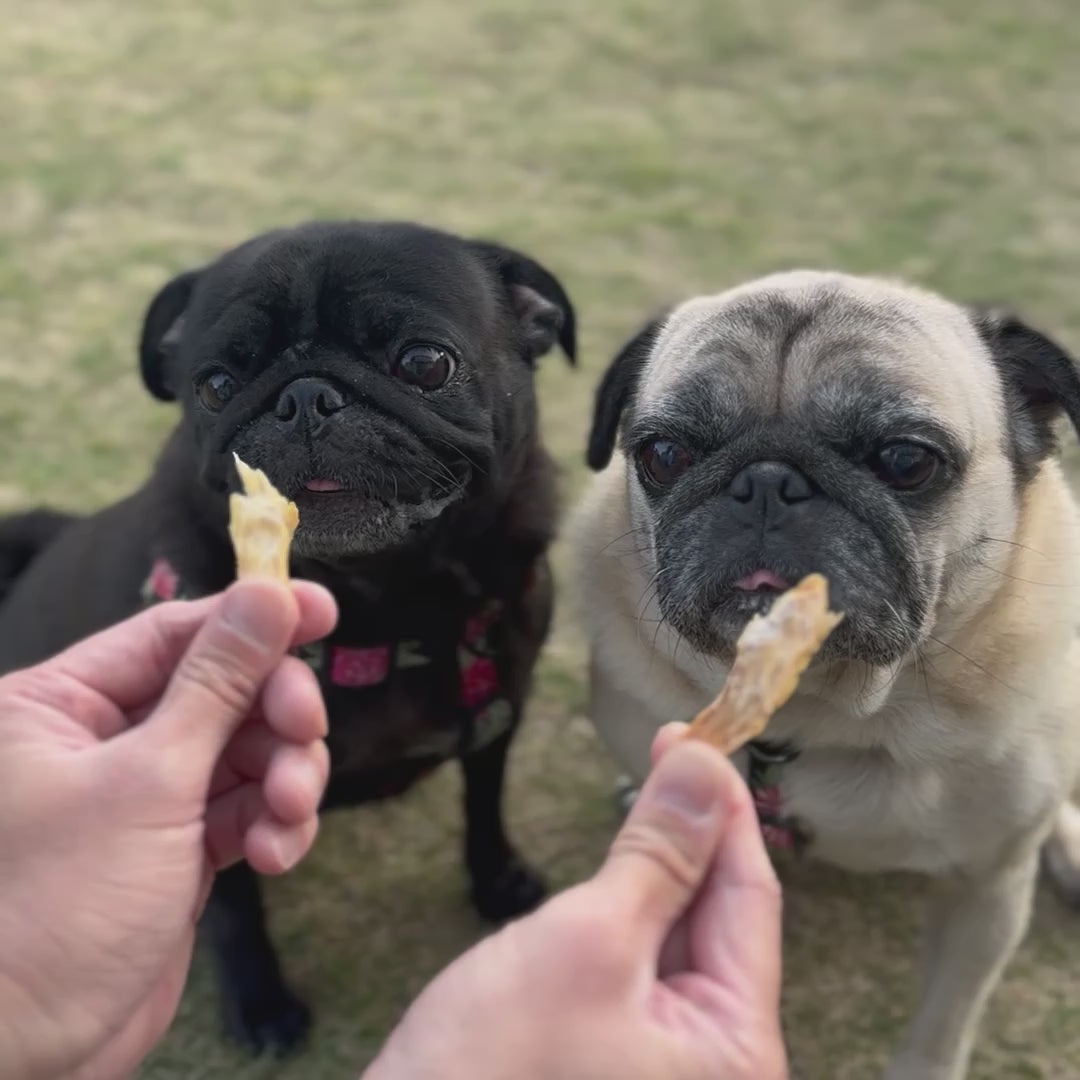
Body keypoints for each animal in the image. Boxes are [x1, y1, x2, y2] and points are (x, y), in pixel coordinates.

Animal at [0, 220, 576, 1055]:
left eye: (425, 362)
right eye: (213, 384)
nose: (304, 398)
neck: (383, 604)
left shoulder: (499, 717)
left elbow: (486, 809)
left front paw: (500, 883)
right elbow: (236, 909)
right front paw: (261, 1006)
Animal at [568, 270, 1080, 1080]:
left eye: (906, 460)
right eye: (664, 454)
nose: (767, 482)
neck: (824, 712)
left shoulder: (988, 894)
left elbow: (944, 1023)